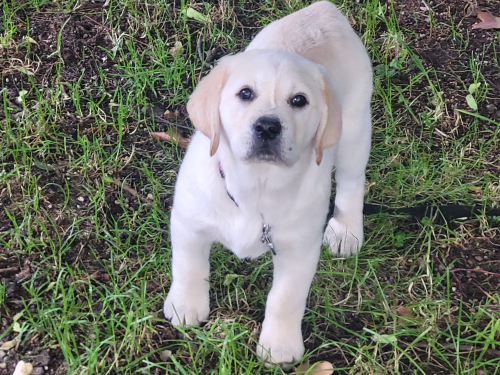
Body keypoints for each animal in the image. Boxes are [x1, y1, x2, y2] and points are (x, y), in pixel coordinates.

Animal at [163, 1, 372, 368]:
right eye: (245, 93)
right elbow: (188, 266)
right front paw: (185, 306)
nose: (267, 127)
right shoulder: (189, 221)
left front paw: (279, 346)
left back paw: (347, 230)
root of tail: (324, 10)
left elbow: (285, 299)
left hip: (355, 130)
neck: (256, 187)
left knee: (351, 181)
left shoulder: (300, 250)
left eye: (299, 100)